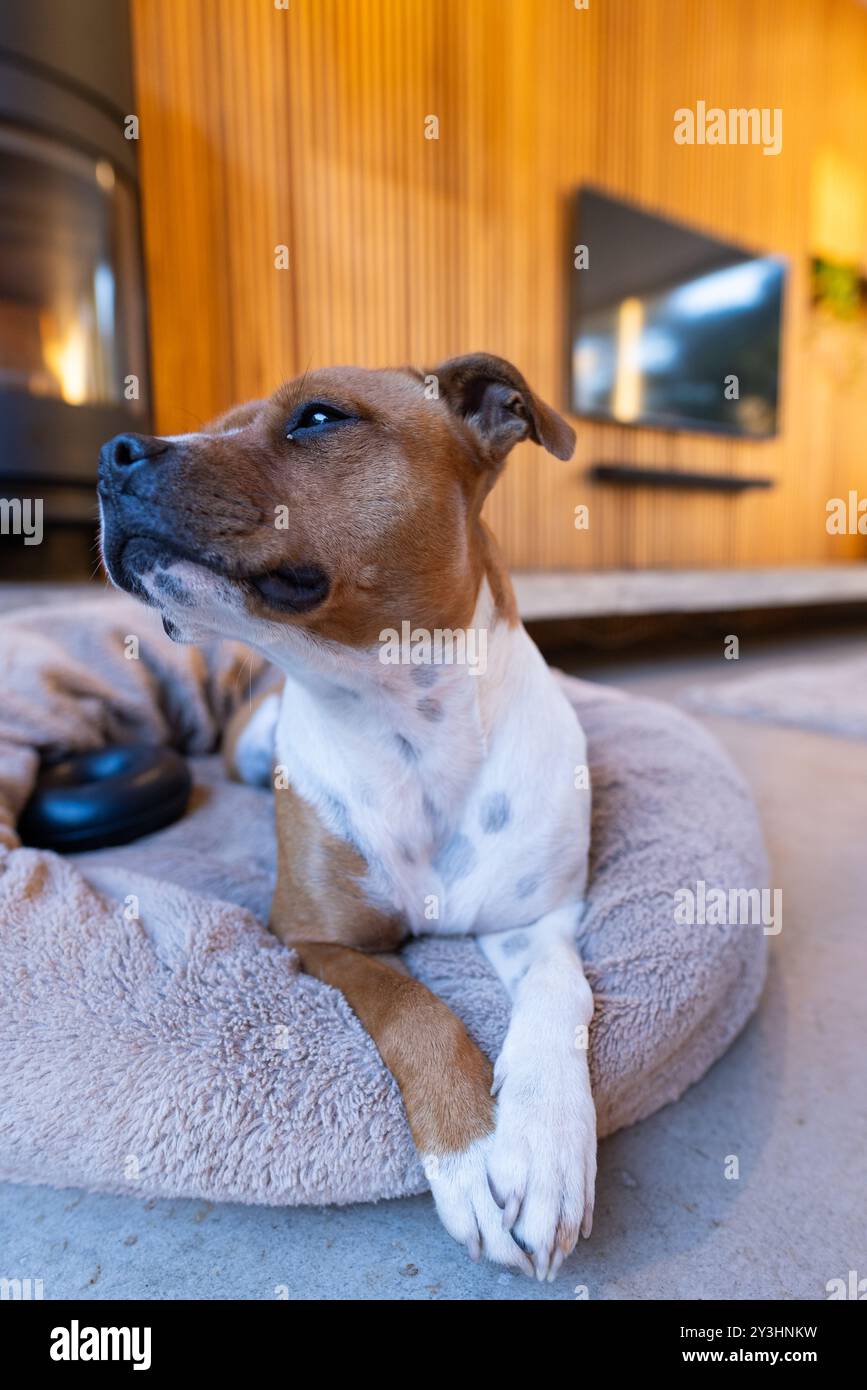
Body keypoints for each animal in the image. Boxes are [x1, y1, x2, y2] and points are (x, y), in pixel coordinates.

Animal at [97, 355, 591, 1278]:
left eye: (318, 417)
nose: (113, 454)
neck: (409, 726)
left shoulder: (534, 920)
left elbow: (558, 994)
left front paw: (545, 1145)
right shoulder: (319, 938)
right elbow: (413, 1007)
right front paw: (469, 1153)